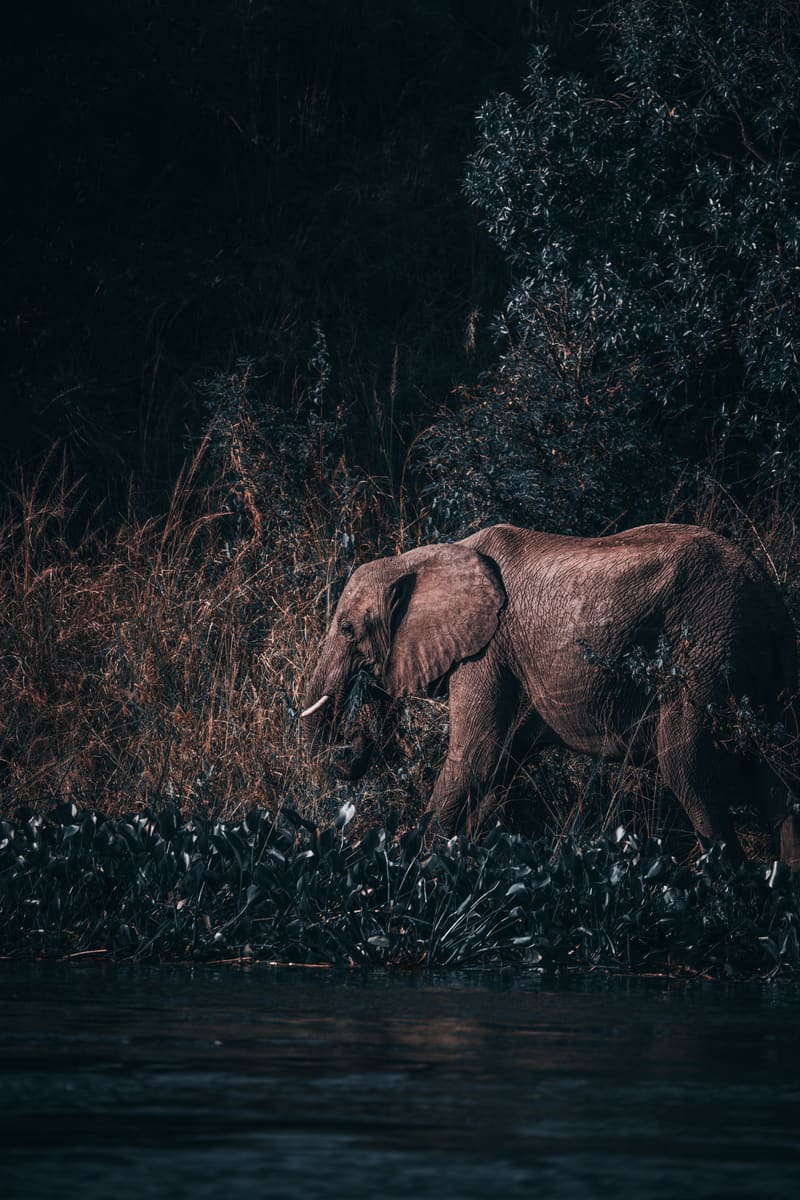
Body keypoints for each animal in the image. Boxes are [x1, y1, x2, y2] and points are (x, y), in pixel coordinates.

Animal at [301, 523, 800, 866]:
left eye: (347, 629)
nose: (349, 750)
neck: (424, 557)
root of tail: (771, 598)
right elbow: (502, 763)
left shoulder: (488, 651)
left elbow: (475, 755)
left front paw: (417, 860)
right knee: (776, 780)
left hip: (705, 659)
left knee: (688, 770)